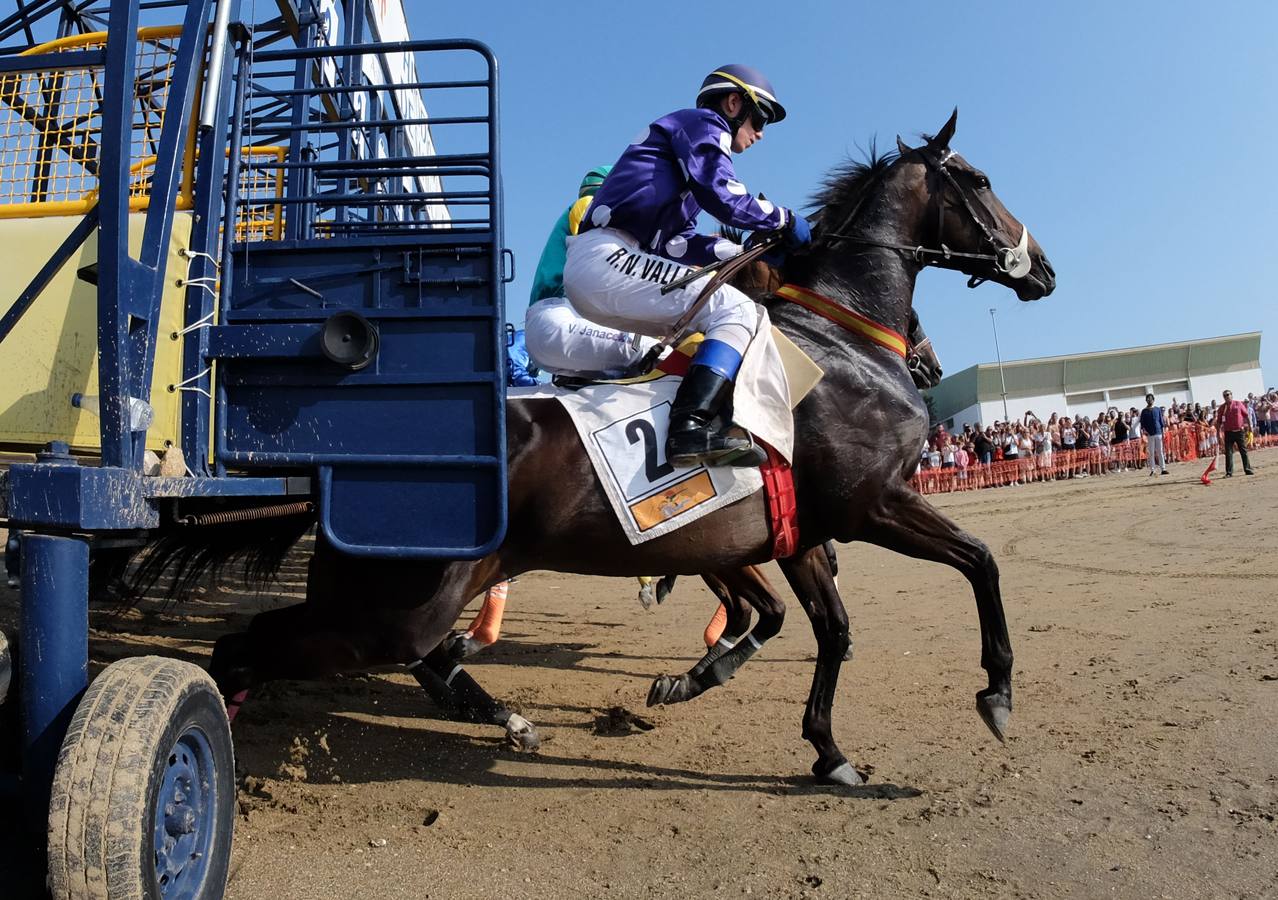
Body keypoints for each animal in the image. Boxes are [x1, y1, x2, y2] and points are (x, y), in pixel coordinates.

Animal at [169, 114, 1053, 787]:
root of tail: (353, 460)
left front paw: (821, 746)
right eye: (978, 179)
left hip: (416, 600)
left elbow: (824, 628)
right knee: (244, 650)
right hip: (388, 611)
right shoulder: (869, 504)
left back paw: (505, 716)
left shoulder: (792, 531)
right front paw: (997, 693)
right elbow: (980, 562)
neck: (837, 344)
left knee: (383, 658)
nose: (1041, 268)